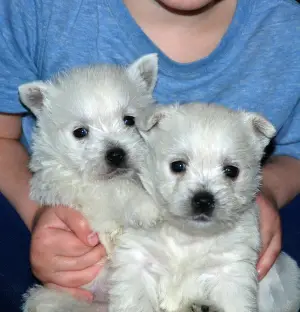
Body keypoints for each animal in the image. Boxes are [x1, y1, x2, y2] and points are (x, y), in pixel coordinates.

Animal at [19, 54, 162, 312]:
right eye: (80, 132)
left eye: (129, 120)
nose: (116, 154)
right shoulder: (81, 190)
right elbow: (118, 190)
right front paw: (147, 208)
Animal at [109, 103, 300, 312]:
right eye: (178, 165)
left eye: (231, 171)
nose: (203, 200)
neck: (189, 237)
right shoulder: (137, 261)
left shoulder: (232, 271)